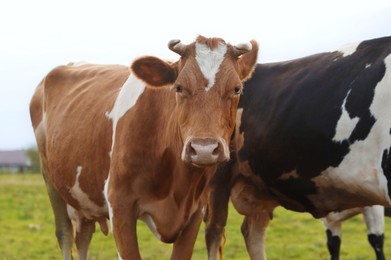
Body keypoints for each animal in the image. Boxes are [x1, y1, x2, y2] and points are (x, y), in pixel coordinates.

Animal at [30, 35, 260, 258]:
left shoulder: (195, 212)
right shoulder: (119, 204)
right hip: (51, 180)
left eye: (237, 89)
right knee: (64, 234)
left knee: (84, 235)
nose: (204, 149)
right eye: (178, 87)